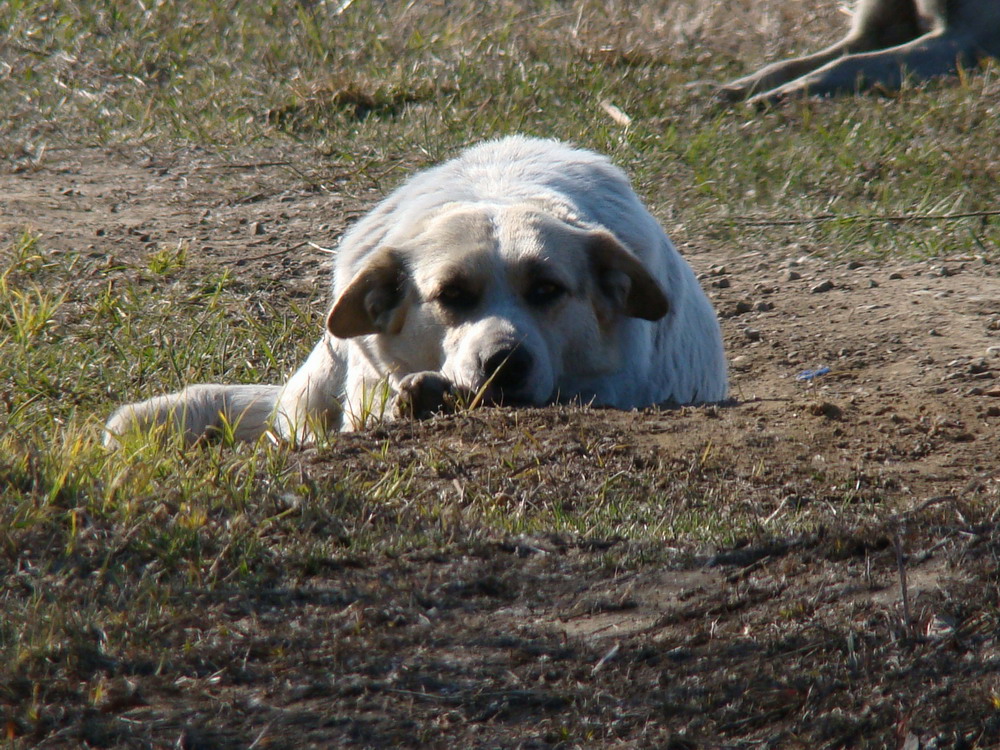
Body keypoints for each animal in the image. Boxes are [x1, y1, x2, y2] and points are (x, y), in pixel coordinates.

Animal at [103, 137, 728, 446]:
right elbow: (376, 404)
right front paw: (419, 396)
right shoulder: (366, 385)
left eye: (547, 289)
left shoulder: (617, 384)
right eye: (451, 294)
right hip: (318, 382)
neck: (500, 190)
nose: (504, 362)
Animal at [720, 0, 1000, 104]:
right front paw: (739, 87)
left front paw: (781, 94)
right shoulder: (878, 32)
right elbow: (786, 65)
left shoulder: (961, 42)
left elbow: (847, 63)